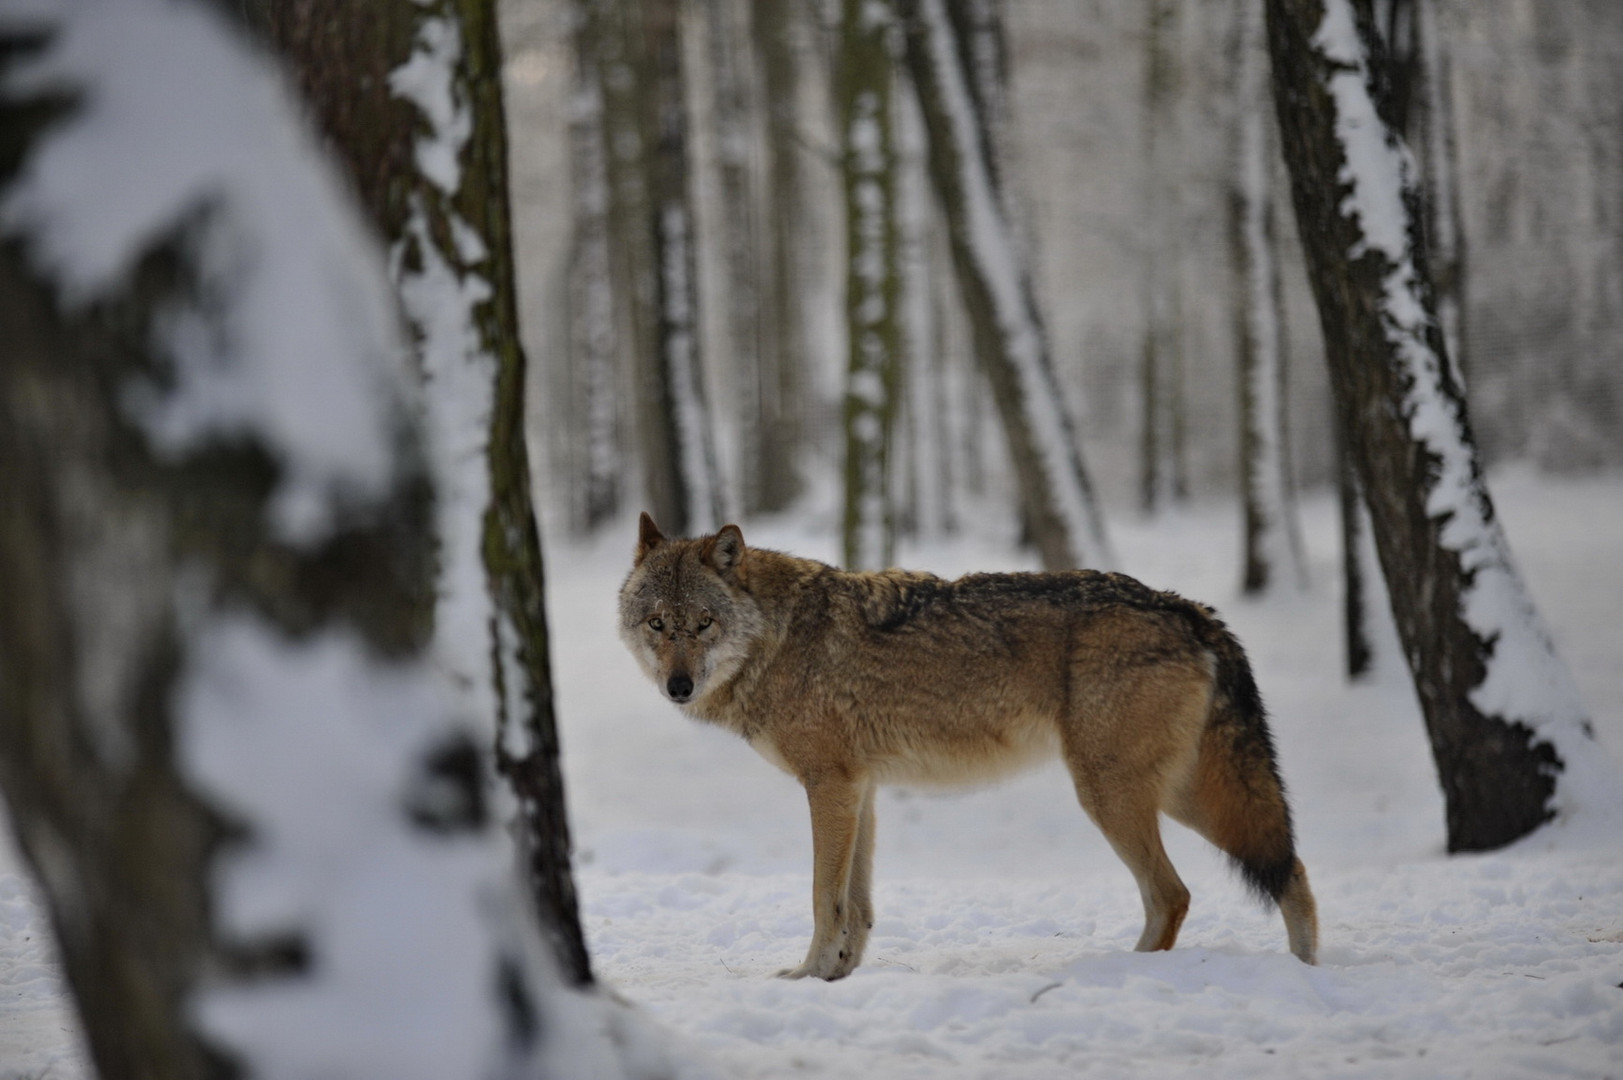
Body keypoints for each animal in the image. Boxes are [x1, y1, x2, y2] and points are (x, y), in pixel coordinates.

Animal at [613, 513, 1311, 974]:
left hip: (1114, 795)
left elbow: (822, 898)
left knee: (1175, 894)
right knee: (1292, 872)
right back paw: (1306, 972)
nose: (678, 686)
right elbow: (857, 905)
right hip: (1181, 795)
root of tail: (1185, 606)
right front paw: (839, 976)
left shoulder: (829, 787)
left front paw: (808, 976)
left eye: (705, 623)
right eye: (658, 623)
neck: (777, 639)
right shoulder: (859, 789)